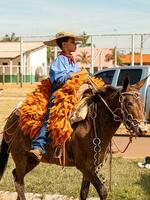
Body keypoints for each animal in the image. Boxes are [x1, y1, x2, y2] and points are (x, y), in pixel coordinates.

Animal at [0, 77, 148, 200]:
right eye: (129, 103)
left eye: (142, 103)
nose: (143, 129)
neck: (93, 124)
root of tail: (12, 117)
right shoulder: (84, 166)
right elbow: (103, 191)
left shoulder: (91, 168)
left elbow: (83, 193)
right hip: (20, 156)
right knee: (19, 182)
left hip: (32, 159)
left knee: (16, 176)